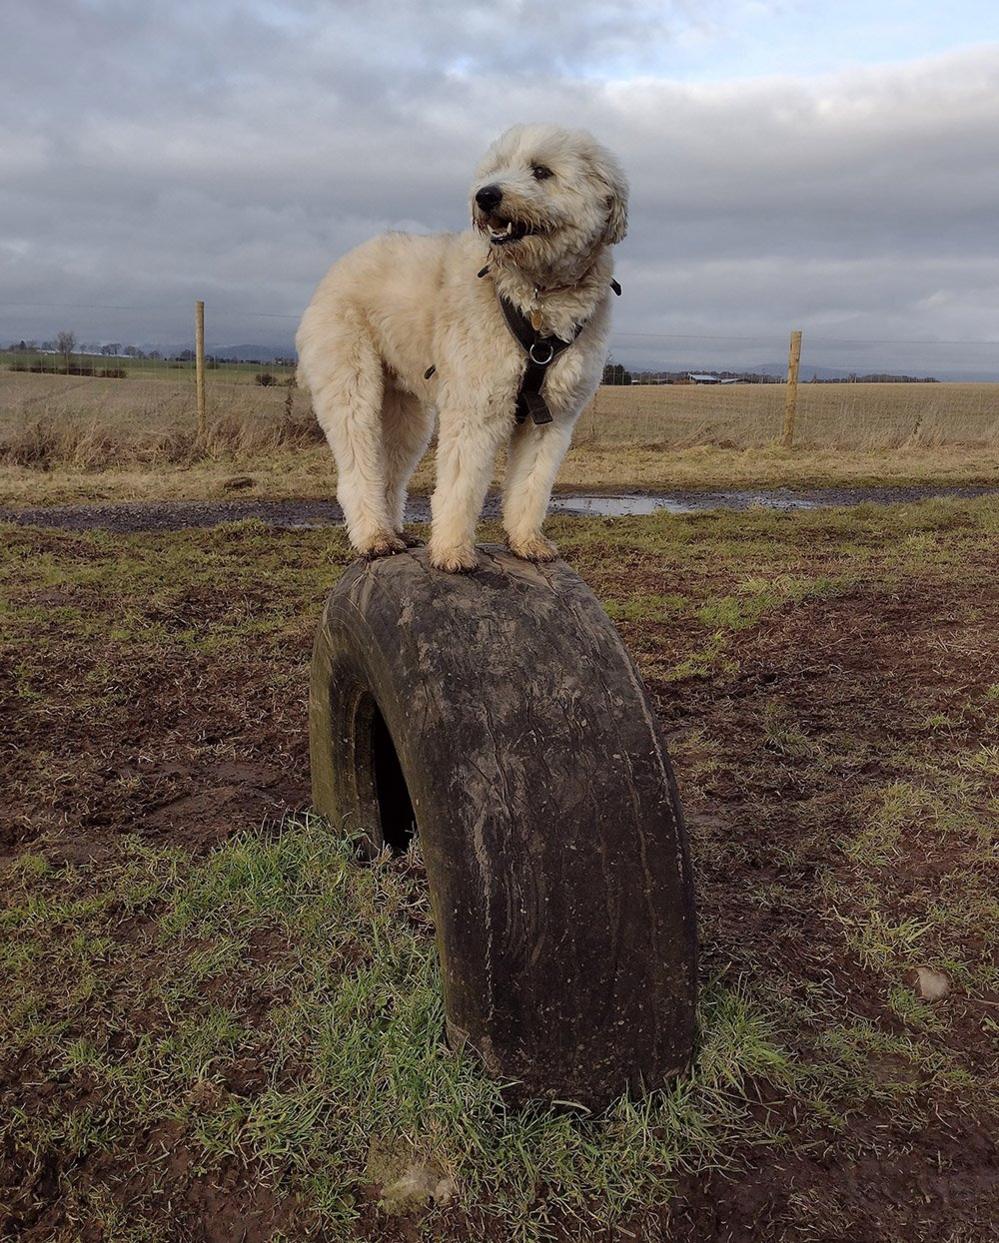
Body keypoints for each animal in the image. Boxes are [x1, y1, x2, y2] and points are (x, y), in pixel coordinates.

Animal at [293, 123, 628, 569]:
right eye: (496, 167)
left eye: (541, 171)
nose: (485, 195)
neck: (536, 293)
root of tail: (332, 274)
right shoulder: (476, 407)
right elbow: (461, 485)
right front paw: (452, 551)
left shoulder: (553, 417)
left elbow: (532, 484)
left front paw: (527, 541)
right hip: (352, 388)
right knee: (356, 468)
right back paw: (375, 537)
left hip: (407, 413)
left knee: (389, 470)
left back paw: (396, 532)